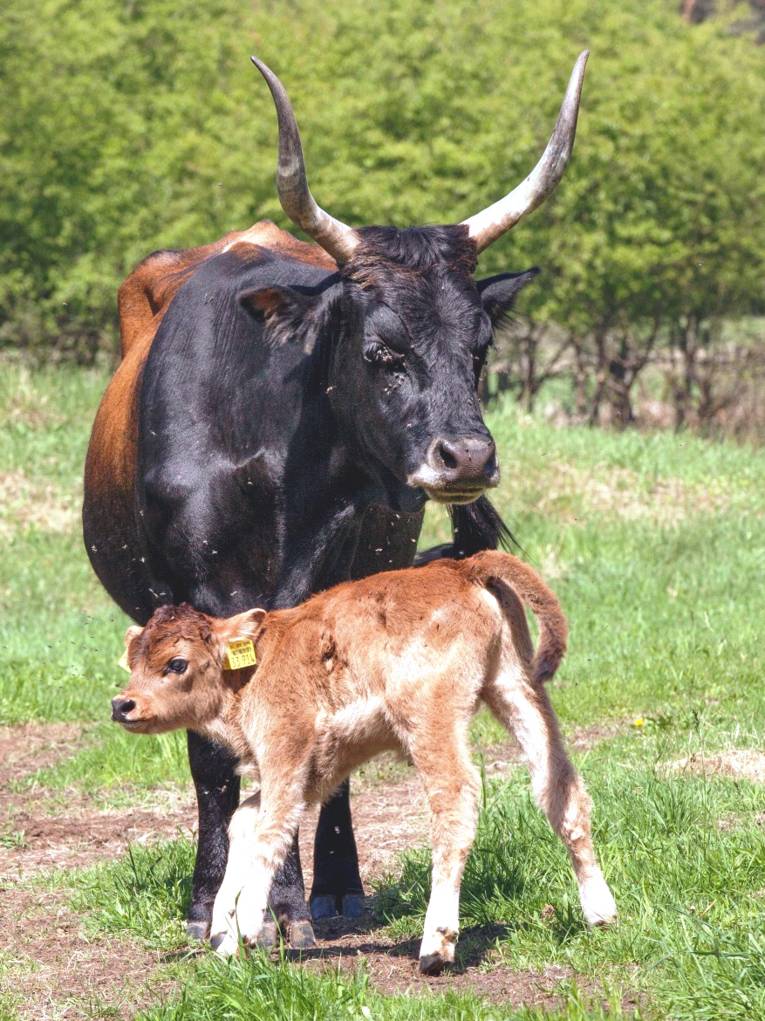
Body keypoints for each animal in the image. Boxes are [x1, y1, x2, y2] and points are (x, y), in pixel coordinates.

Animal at [111, 551, 612, 971]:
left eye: (176, 663)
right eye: (133, 662)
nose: (123, 705)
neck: (254, 665)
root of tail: (460, 566)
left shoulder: (286, 757)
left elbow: (271, 828)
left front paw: (248, 927)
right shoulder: (316, 771)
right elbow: (244, 821)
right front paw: (222, 936)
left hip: (431, 719)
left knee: (456, 798)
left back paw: (435, 945)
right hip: (516, 688)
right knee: (558, 787)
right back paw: (601, 913)